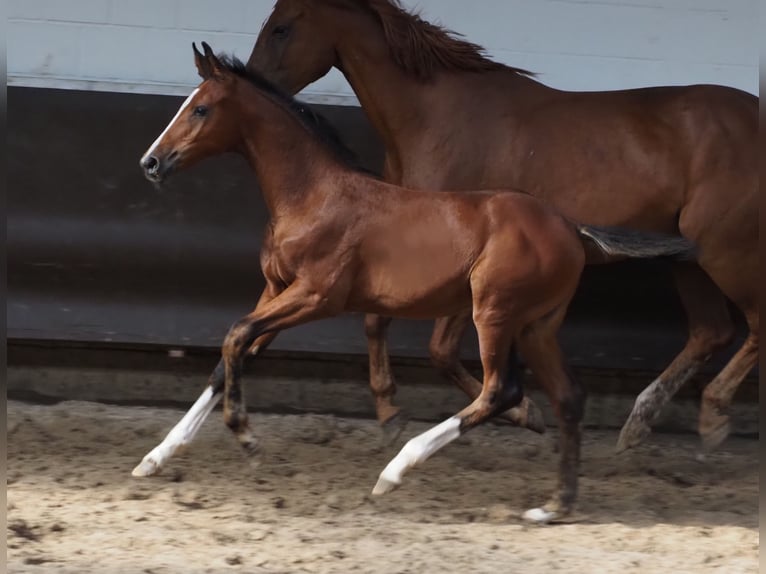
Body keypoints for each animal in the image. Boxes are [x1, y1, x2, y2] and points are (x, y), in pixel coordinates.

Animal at [135, 42, 700, 524]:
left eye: (201, 109)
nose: (151, 162)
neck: (311, 195)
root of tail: (571, 228)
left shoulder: (316, 296)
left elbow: (235, 335)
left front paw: (247, 436)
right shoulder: (276, 290)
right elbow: (227, 357)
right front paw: (156, 457)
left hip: (493, 312)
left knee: (501, 390)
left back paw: (396, 471)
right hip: (536, 325)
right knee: (568, 396)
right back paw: (553, 507)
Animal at [250, 0, 760, 454]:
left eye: (281, 28)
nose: (251, 81)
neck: (436, 118)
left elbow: (440, 349)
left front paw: (522, 412)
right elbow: (379, 323)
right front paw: (391, 415)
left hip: (727, 252)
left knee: (753, 324)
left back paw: (713, 417)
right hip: (690, 258)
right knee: (711, 330)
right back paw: (637, 427)